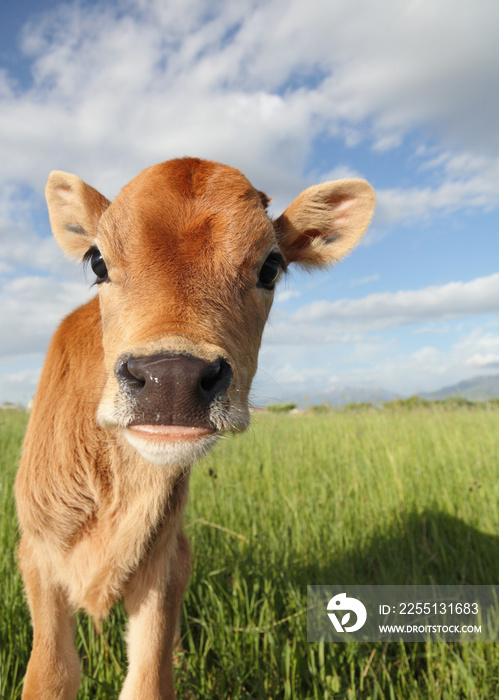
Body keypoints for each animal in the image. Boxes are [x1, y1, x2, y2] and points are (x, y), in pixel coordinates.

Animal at [14, 159, 376, 700]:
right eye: (97, 261)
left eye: (270, 267)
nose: (171, 378)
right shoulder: (36, 552)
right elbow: (52, 674)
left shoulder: (163, 561)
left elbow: (148, 678)